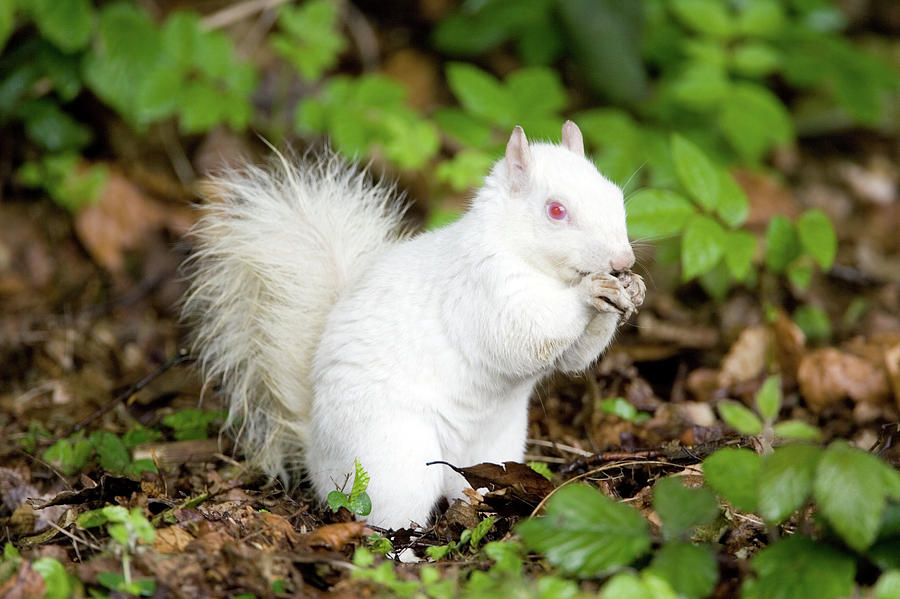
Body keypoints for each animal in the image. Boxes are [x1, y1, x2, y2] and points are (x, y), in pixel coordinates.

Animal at [185, 122, 648, 528]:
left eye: (614, 195)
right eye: (556, 211)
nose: (623, 260)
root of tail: (316, 450)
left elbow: (573, 358)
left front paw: (631, 290)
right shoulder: (484, 291)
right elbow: (527, 333)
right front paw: (590, 293)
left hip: (495, 449)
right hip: (392, 457)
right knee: (385, 520)